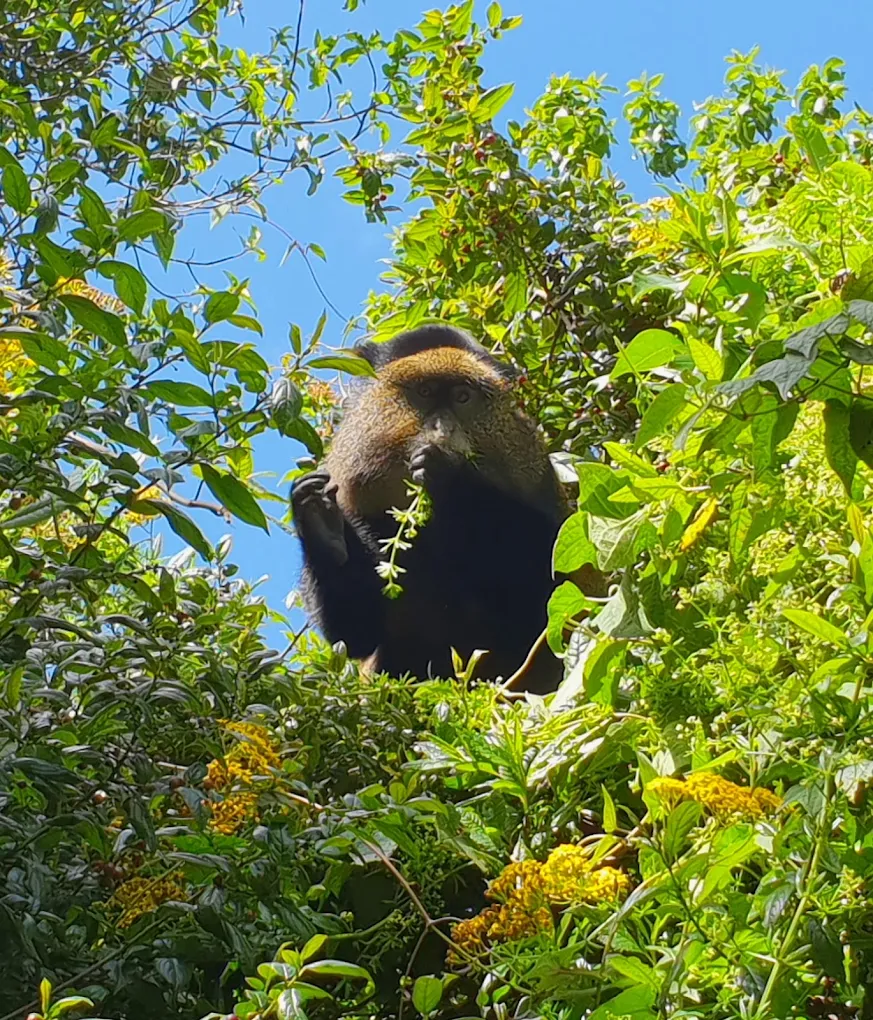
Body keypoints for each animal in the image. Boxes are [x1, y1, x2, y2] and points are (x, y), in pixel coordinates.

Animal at [291, 323, 597, 694]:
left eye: (462, 397)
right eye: (425, 392)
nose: (443, 429)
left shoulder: (533, 476)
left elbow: (552, 589)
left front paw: (446, 472)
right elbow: (355, 633)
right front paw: (321, 520)